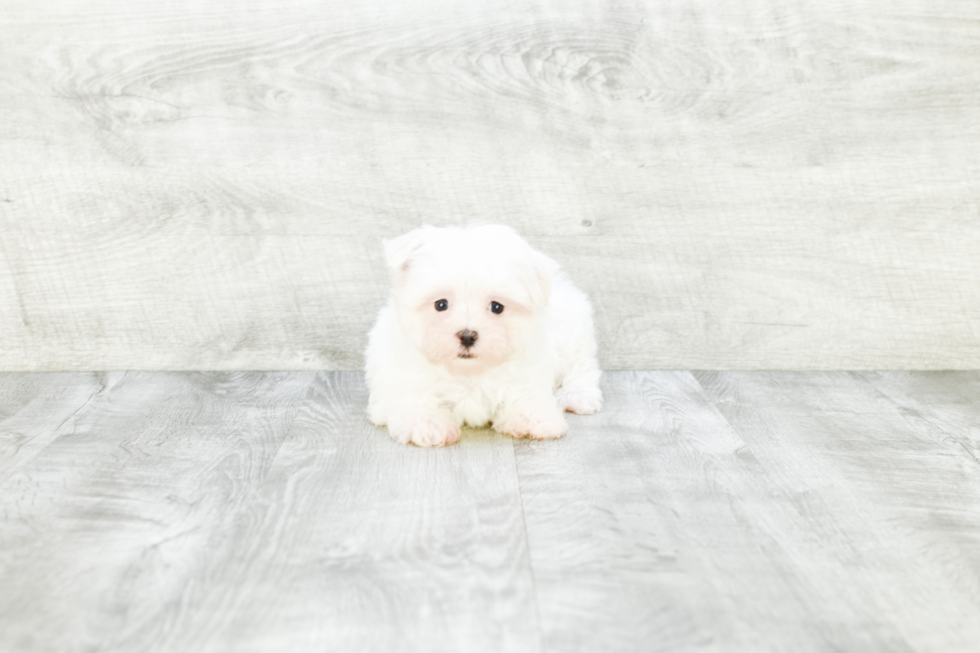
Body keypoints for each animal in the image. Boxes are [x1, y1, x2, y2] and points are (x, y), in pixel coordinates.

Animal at [364, 222, 600, 446]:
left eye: (497, 307)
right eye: (441, 304)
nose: (467, 335)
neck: (467, 372)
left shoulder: (528, 368)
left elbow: (524, 394)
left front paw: (533, 417)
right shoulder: (398, 376)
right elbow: (413, 397)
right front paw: (428, 425)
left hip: (570, 333)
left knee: (582, 365)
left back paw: (577, 396)